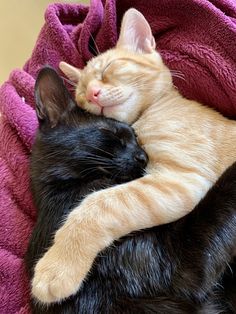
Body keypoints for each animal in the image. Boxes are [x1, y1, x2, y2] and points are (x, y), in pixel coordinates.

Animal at [31, 8, 236, 302]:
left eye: (107, 69)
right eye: (81, 92)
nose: (92, 94)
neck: (153, 110)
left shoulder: (182, 179)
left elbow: (99, 203)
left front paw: (58, 266)